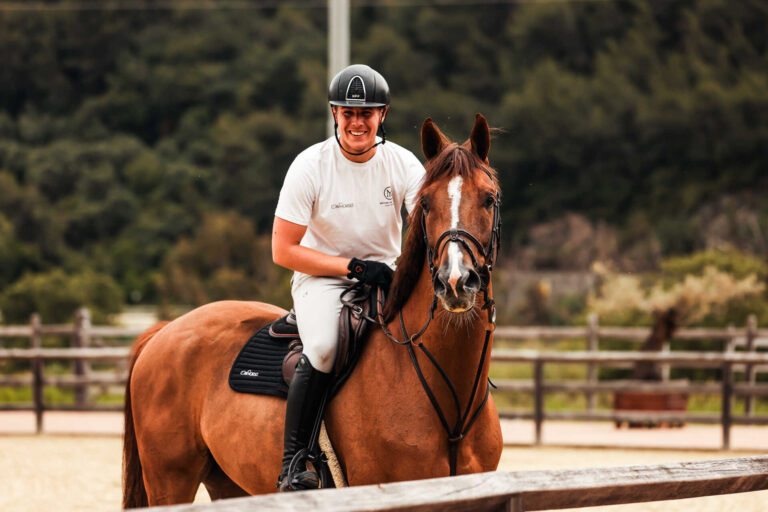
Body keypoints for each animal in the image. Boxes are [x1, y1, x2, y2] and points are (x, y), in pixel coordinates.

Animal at [123, 114, 503, 508]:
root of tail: (165, 330)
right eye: (425, 204)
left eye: (490, 199)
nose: (455, 281)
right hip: (171, 480)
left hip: (228, 482)